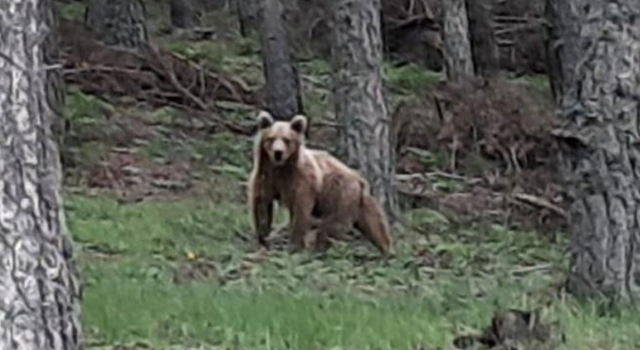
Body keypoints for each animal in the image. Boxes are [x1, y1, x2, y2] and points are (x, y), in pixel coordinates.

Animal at [248, 110, 392, 256]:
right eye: (271, 138)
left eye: (287, 140)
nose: (278, 152)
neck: (280, 168)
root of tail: (360, 180)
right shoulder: (266, 176)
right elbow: (262, 205)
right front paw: (263, 240)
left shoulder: (301, 181)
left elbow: (300, 211)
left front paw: (294, 246)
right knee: (374, 225)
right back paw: (386, 249)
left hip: (340, 195)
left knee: (333, 225)